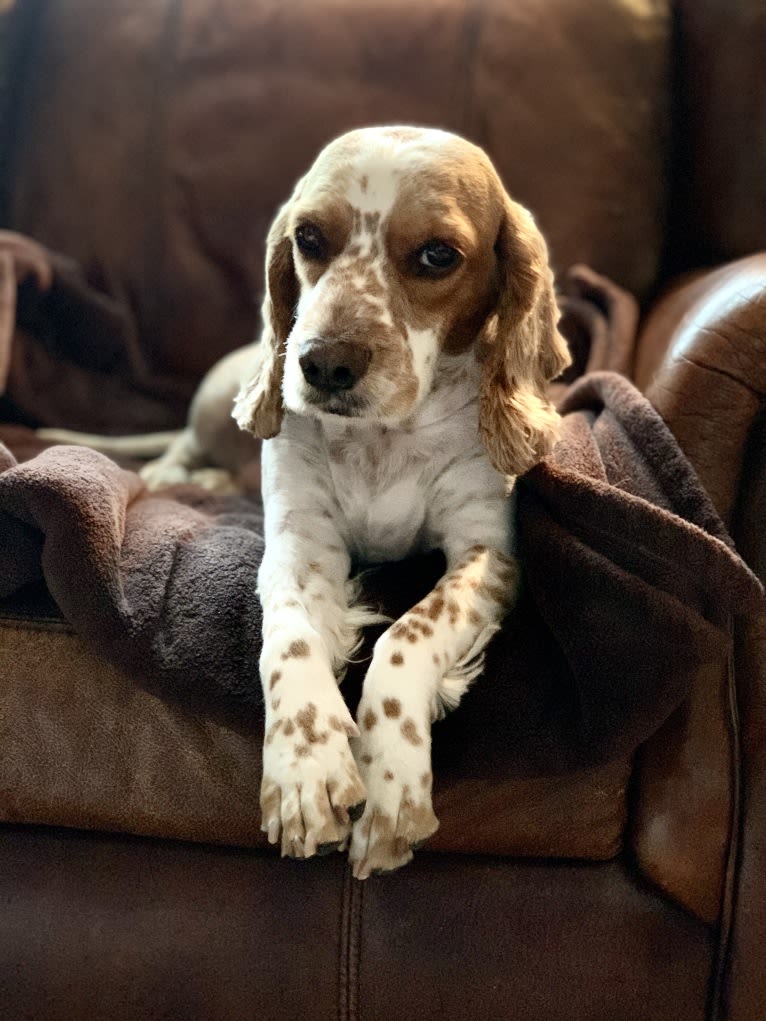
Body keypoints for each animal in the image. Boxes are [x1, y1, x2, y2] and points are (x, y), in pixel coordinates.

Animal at [41, 125, 571, 878]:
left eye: (439, 254)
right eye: (310, 237)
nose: (322, 363)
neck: (384, 438)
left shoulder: (488, 554)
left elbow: (407, 636)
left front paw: (391, 783)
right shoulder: (298, 545)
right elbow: (288, 640)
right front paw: (304, 766)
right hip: (215, 399)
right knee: (184, 447)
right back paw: (189, 477)